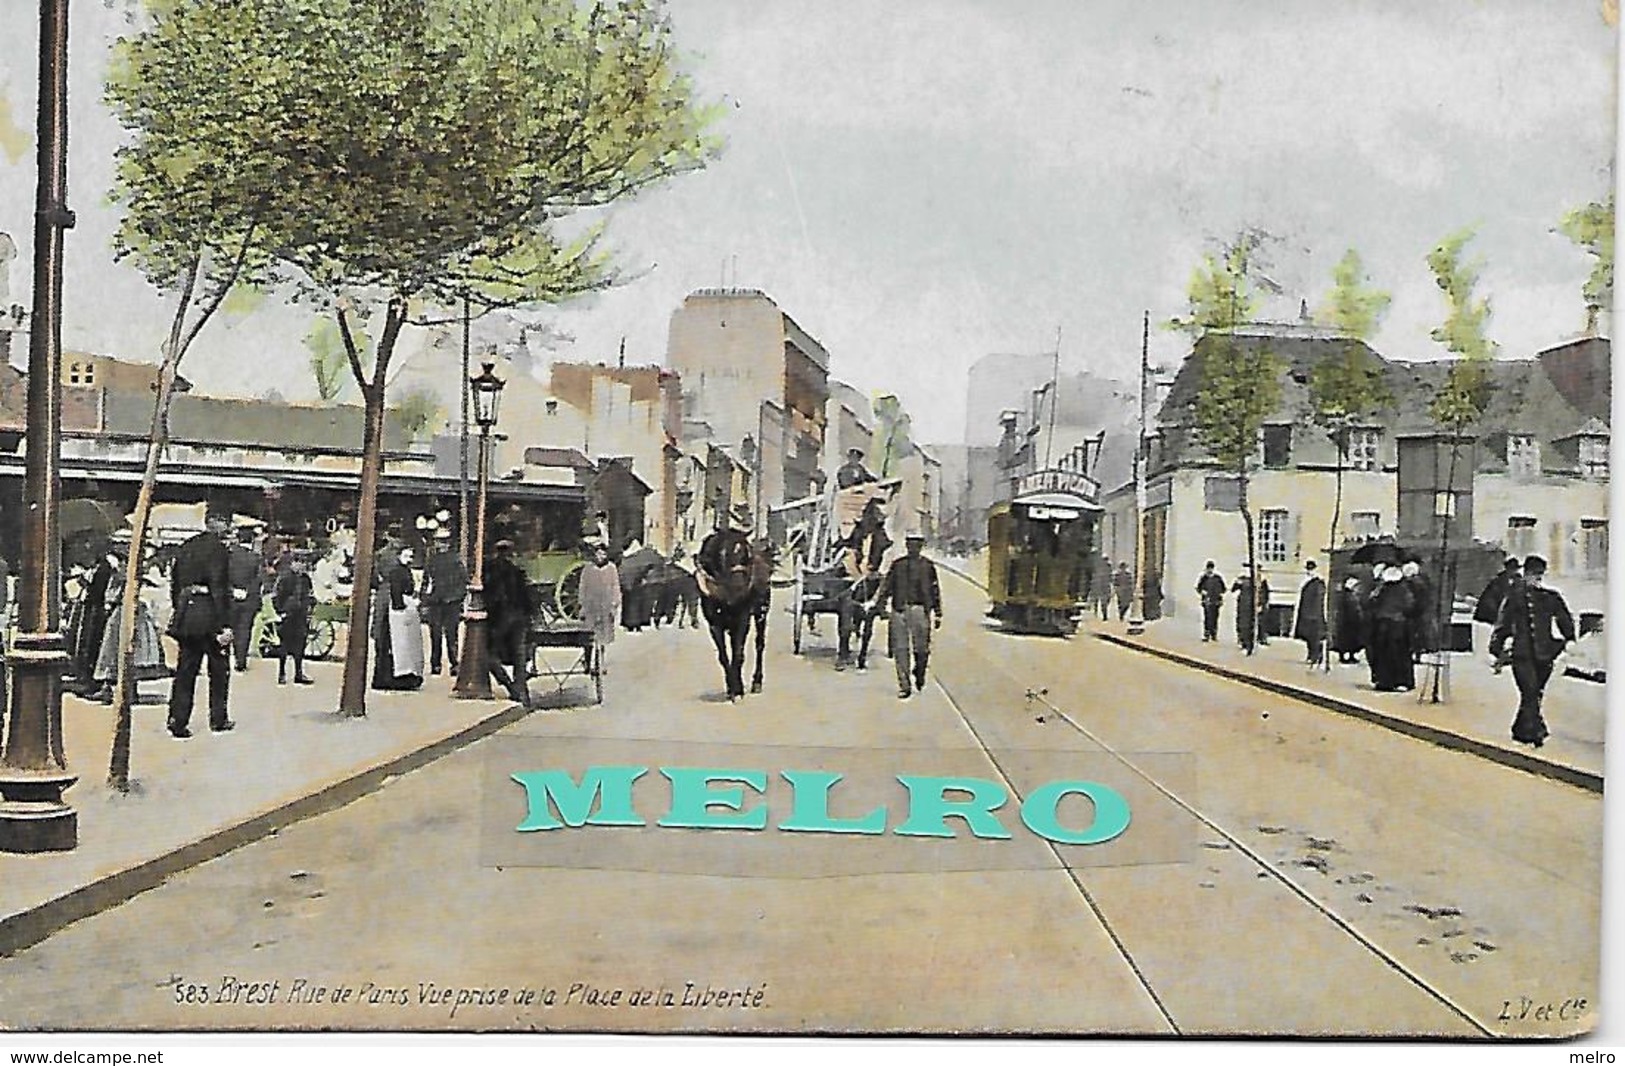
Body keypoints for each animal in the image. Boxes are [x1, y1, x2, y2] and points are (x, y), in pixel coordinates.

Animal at [698, 529, 773, 698]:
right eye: (722, 554)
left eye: (746, 553)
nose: (739, 585)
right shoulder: (714, 624)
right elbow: (723, 655)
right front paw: (732, 686)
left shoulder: (742, 620)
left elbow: (738, 652)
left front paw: (738, 688)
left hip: (762, 611)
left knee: (759, 644)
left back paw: (756, 682)